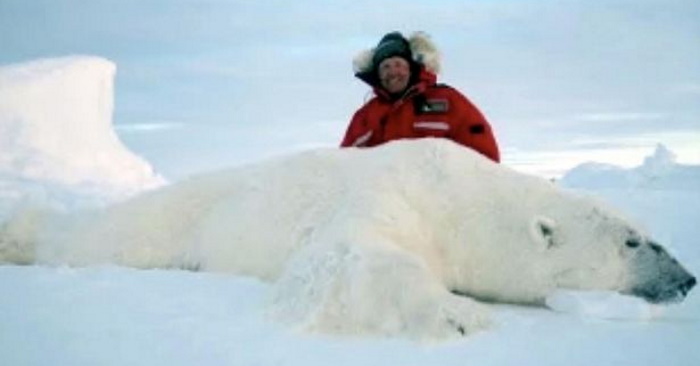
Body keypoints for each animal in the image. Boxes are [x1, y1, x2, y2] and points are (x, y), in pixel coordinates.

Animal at [0, 139, 696, 338]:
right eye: (634, 243)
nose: (688, 278)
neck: (459, 198)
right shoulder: (394, 193)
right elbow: (351, 254)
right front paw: (459, 315)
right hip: (173, 220)